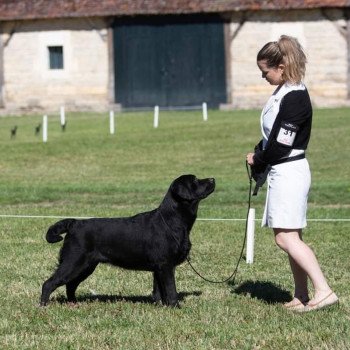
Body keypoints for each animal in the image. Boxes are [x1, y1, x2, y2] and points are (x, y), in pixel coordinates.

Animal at [41, 174, 216, 306]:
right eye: (195, 181)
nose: (213, 179)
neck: (172, 220)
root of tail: (74, 223)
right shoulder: (166, 265)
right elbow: (171, 290)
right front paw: (175, 307)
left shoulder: (158, 267)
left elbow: (159, 291)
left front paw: (161, 306)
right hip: (73, 262)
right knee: (49, 283)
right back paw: (43, 306)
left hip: (86, 266)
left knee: (70, 285)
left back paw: (74, 303)